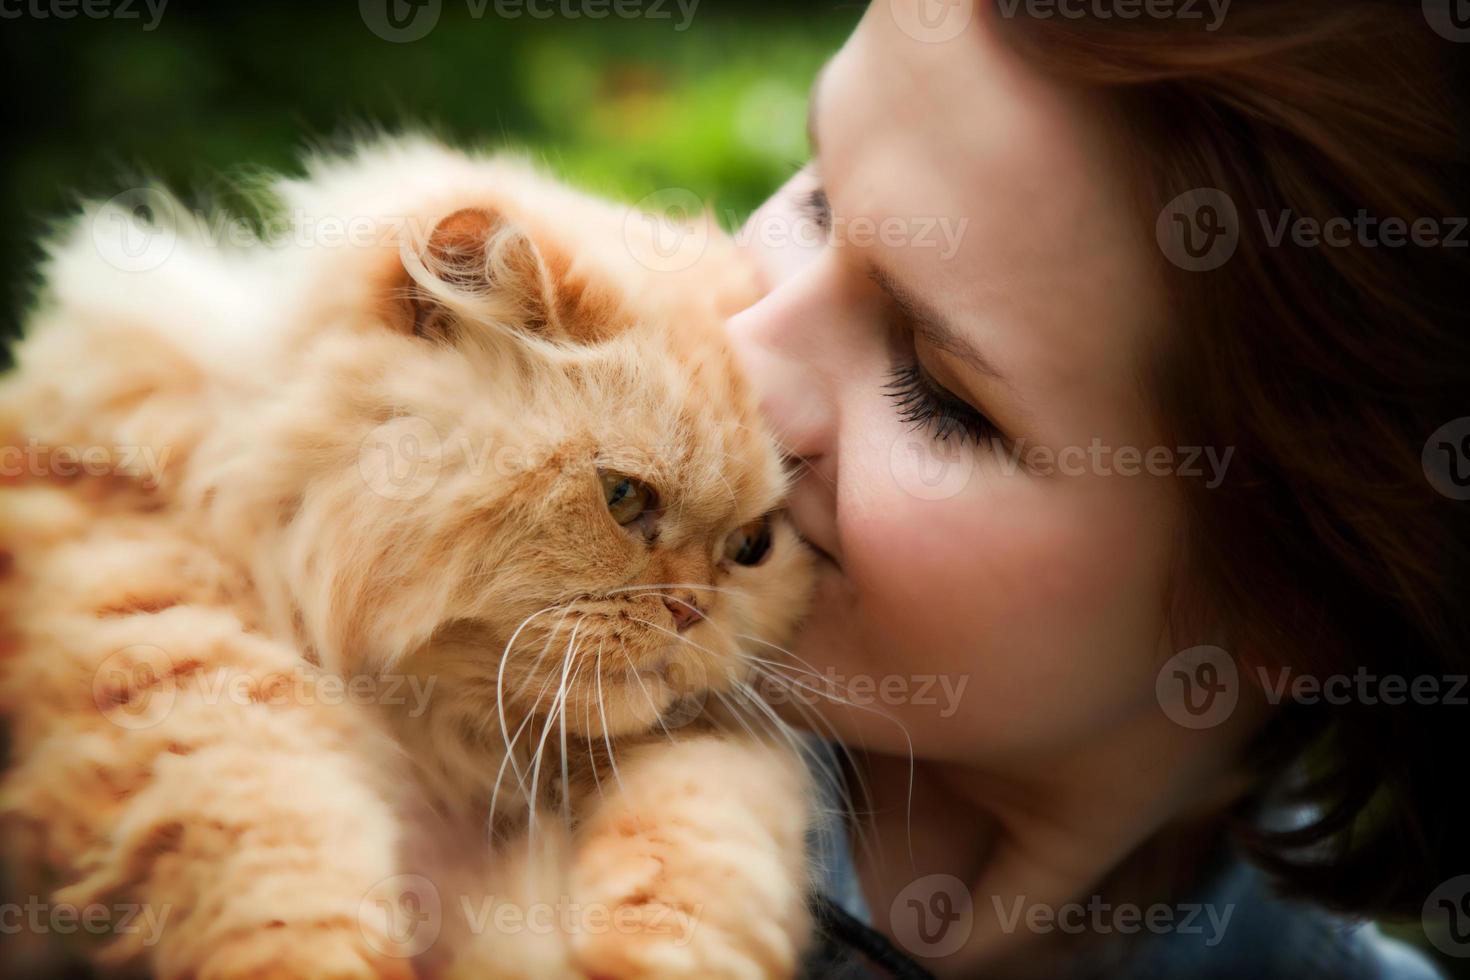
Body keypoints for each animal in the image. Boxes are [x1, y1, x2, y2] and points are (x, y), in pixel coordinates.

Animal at [0, 138, 817, 980]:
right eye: (622, 497)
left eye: (751, 547)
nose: (691, 611)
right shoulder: (180, 669)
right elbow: (290, 885)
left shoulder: (720, 742)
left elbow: (699, 848)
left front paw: (634, 953)